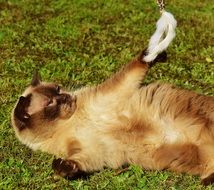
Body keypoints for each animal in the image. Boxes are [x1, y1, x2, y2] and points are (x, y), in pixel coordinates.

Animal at [11, 48, 214, 186]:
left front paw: (153, 54)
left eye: (58, 89)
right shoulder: (93, 151)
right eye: (50, 103)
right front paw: (62, 168)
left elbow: (135, 67)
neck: (67, 123)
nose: (66, 97)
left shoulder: (112, 94)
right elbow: (76, 163)